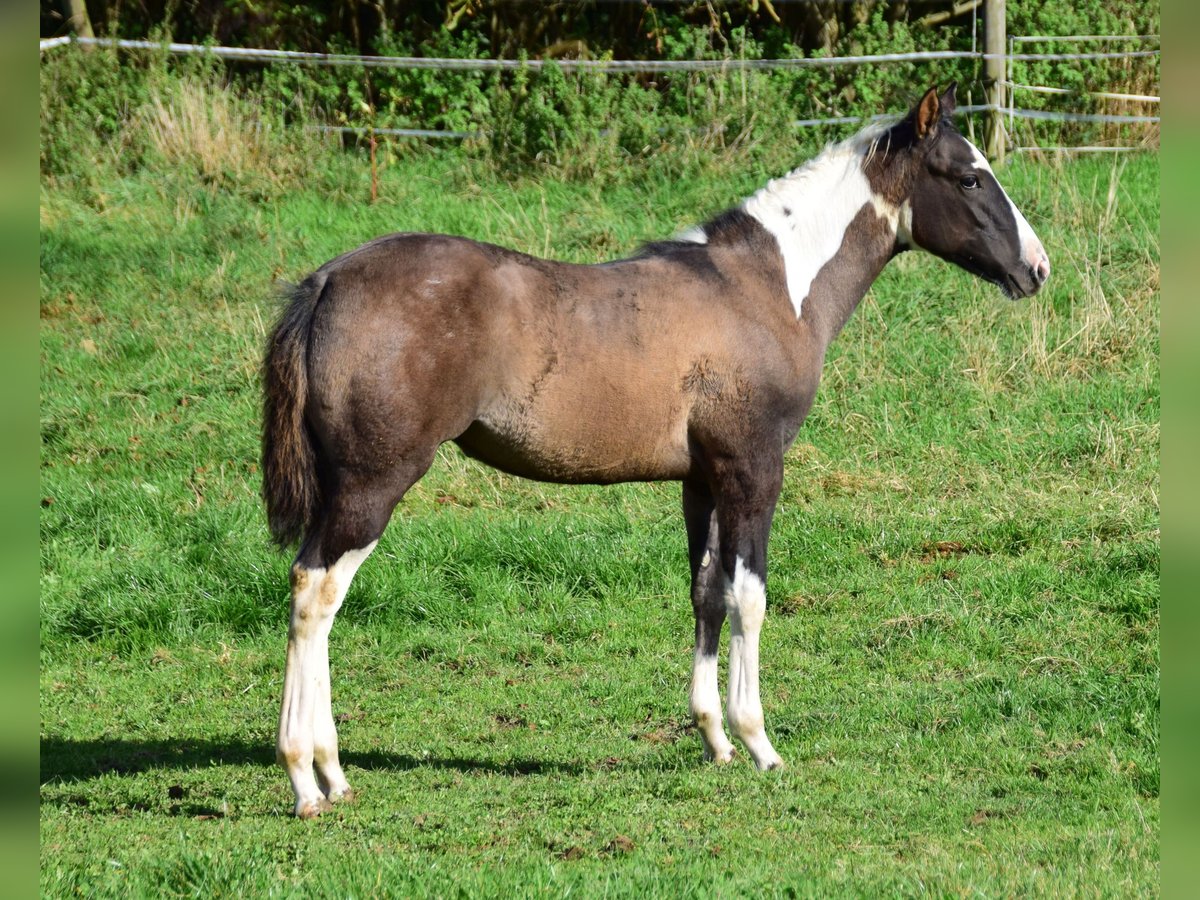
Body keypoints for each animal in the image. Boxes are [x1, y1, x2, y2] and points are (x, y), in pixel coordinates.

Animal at [265, 84, 1051, 816]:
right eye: (970, 178)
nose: (1037, 269)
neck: (770, 289)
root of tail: (328, 279)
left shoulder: (702, 481)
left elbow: (705, 593)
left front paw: (715, 740)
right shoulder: (753, 471)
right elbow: (749, 598)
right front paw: (759, 742)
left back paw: (334, 774)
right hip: (374, 483)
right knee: (316, 591)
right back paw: (307, 778)